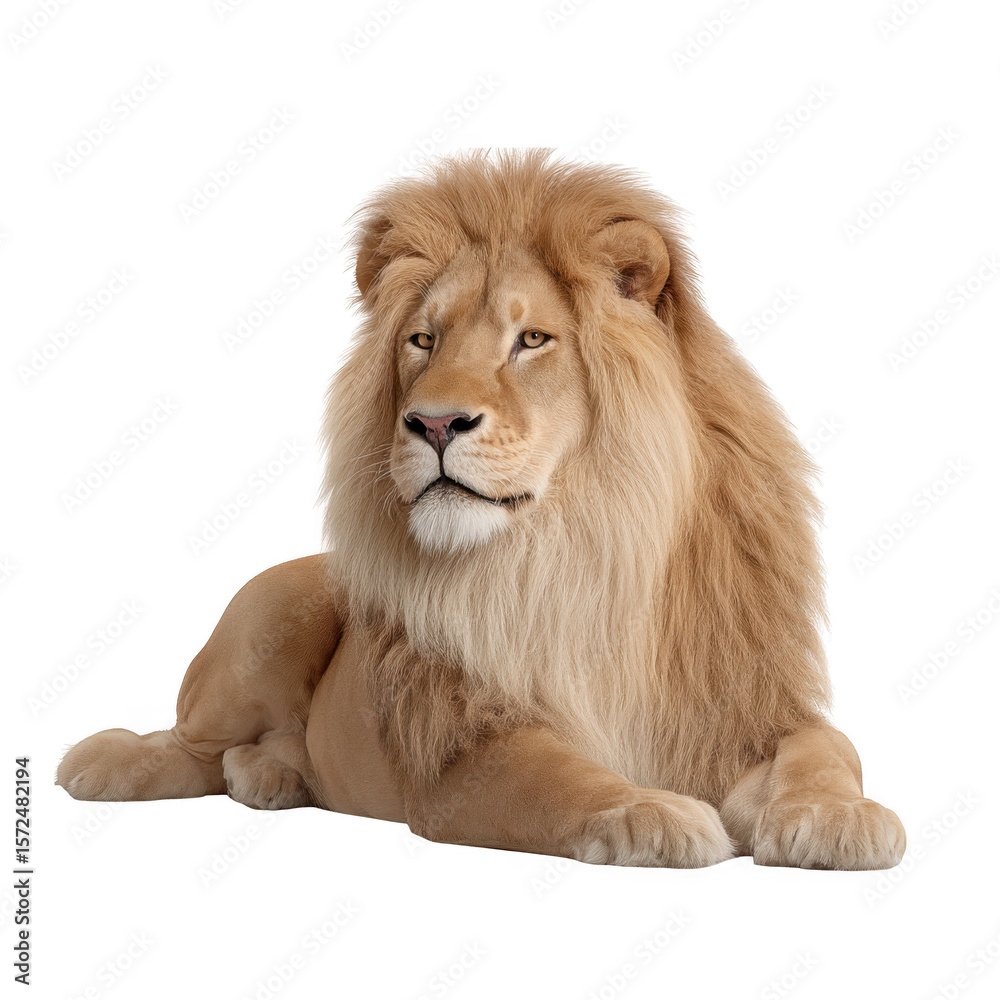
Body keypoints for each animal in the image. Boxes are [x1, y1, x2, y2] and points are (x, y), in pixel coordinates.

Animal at [57, 150, 905, 869]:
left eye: (530, 339)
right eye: (422, 341)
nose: (434, 424)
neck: (588, 543)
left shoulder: (740, 705)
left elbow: (826, 745)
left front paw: (839, 818)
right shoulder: (464, 749)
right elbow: (560, 778)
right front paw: (649, 813)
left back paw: (272, 774)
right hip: (266, 613)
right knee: (188, 742)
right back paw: (106, 761)